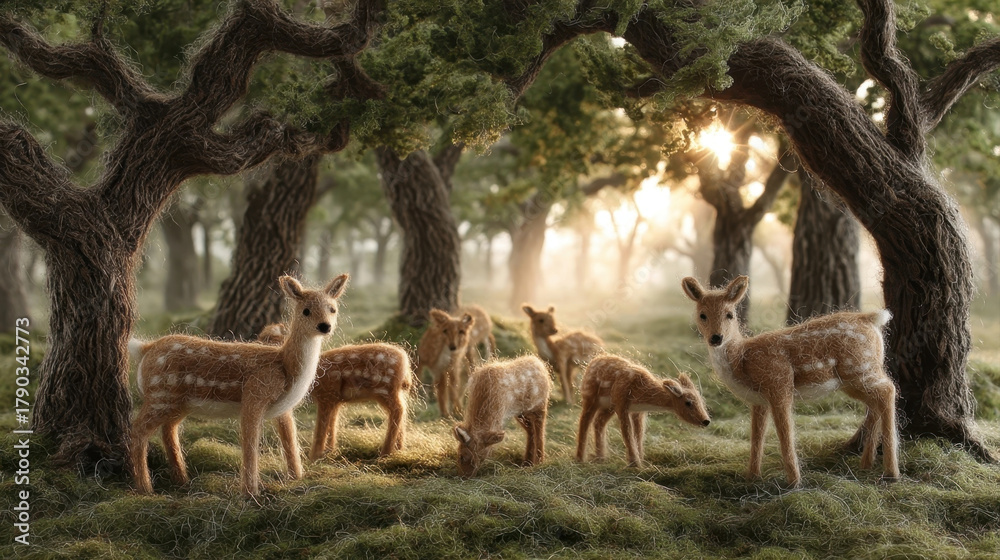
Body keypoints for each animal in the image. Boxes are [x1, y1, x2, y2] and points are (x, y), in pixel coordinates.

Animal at [128, 274, 349, 496]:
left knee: (169, 429)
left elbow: (290, 438)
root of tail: (145, 348)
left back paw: (182, 480)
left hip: (177, 403)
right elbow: (250, 443)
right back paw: (145, 488)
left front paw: (297, 477)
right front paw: (251, 491)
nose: (325, 326)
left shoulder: (283, 408)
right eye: (306, 310)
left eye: (332, 309)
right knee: (137, 430)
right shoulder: (255, 393)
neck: (287, 368)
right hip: (160, 395)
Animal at [257, 324, 412, 461]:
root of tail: (405, 364)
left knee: (398, 410)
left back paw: (385, 453)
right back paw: (399, 449)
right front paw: (330, 452)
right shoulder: (335, 399)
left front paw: (314, 458)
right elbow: (332, 423)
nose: (256, 350)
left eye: (271, 340)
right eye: (262, 336)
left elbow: (322, 427)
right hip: (394, 391)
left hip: (385, 389)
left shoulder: (327, 395)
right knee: (401, 410)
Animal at [576, 354, 711, 467]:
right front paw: (635, 464)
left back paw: (601, 458)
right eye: (688, 403)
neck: (640, 392)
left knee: (599, 422)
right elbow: (627, 432)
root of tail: (591, 362)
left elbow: (639, 433)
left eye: (701, 400)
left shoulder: (638, 411)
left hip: (608, 407)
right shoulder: (621, 402)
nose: (706, 421)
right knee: (584, 421)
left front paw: (641, 460)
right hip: (589, 395)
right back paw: (580, 458)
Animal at [682, 275, 899, 487]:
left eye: (729, 314)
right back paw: (866, 464)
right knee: (876, 402)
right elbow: (757, 436)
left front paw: (794, 482)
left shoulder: (779, 383)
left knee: (889, 389)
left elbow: (785, 432)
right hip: (853, 379)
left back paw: (891, 473)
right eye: (702, 315)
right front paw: (752, 477)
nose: (716, 338)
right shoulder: (758, 400)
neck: (742, 360)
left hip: (860, 367)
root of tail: (870, 319)